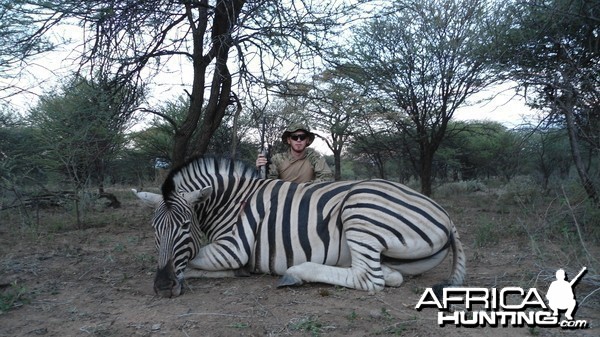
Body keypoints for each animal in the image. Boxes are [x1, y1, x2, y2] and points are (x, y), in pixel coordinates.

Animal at [134, 156, 466, 296]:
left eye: (184, 226)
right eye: (154, 230)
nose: (162, 288)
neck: (231, 200)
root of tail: (448, 218)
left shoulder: (232, 248)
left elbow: (191, 261)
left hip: (361, 212)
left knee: (369, 279)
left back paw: (295, 274)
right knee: (391, 275)